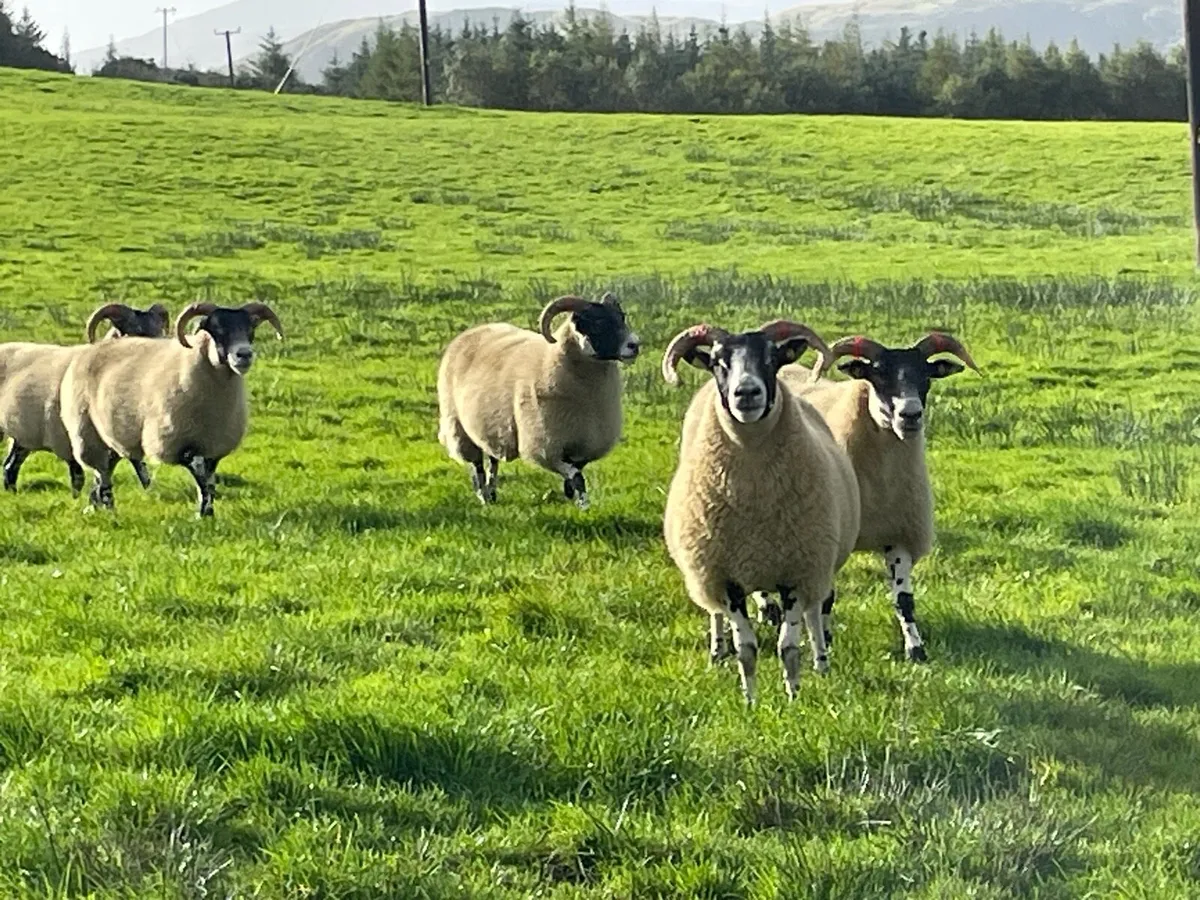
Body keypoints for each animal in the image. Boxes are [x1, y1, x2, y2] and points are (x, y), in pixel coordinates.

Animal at [0, 303, 168, 495]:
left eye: (160, 330)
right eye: (137, 331)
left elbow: (136, 467)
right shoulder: (70, 439)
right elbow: (80, 476)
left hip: (23, 437)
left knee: (10, 466)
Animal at [59, 301, 283, 517]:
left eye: (251, 329)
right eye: (217, 328)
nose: (244, 354)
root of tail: (95, 346)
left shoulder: (214, 445)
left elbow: (209, 480)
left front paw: (208, 513)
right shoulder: (171, 441)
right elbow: (200, 474)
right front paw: (203, 513)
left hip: (110, 436)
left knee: (107, 468)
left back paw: (99, 504)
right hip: (87, 432)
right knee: (102, 471)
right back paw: (109, 509)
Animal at [437, 292, 640, 509]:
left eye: (621, 317)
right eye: (597, 322)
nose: (634, 345)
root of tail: (471, 332)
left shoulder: (584, 442)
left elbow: (575, 472)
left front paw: (570, 492)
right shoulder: (545, 446)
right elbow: (577, 476)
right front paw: (584, 505)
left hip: (489, 424)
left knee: (492, 459)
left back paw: (491, 494)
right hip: (459, 427)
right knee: (477, 465)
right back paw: (484, 496)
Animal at [661, 320, 861, 704]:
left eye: (772, 358)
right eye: (718, 361)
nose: (747, 393)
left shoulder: (798, 570)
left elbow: (789, 646)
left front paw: (793, 698)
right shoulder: (727, 578)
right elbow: (747, 648)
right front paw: (750, 701)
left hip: (817, 563)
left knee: (815, 614)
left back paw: (822, 661)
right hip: (706, 569)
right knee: (714, 614)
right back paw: (716, 651)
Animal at [761, 331, 980, 662]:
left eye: (926, 375)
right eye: (878, 374)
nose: (910, 415)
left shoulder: (899, 532)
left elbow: (904, 600)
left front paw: (916, 650)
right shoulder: (833, 535)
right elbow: (827, 597)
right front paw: (825, 641)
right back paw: (767, 610)